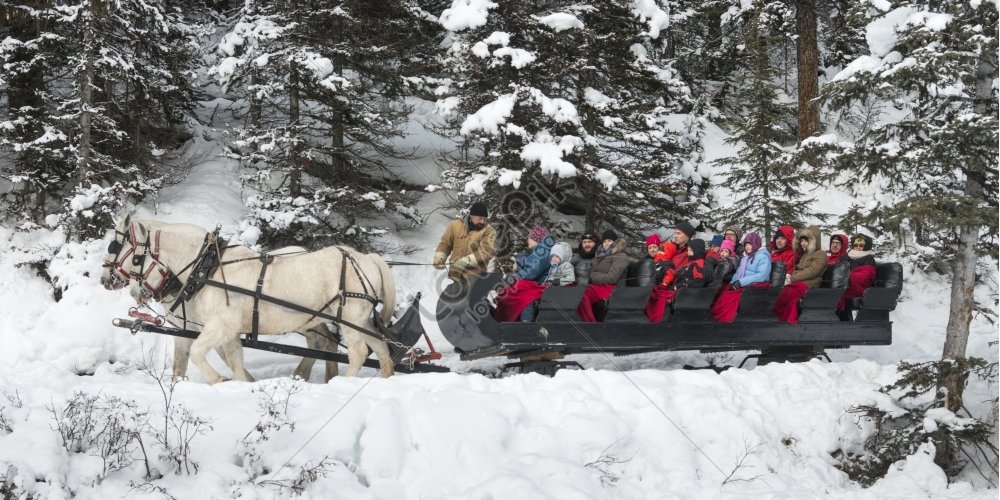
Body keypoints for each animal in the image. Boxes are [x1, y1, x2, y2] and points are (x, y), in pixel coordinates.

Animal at [100, 218, 398, 382]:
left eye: (116, 247)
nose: (104, 278)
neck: (206, 269)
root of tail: (366, 258)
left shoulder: (218, 325)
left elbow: (197, 352)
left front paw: (218, 380)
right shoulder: (225, 331)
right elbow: (230, 360)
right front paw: (242, 383)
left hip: (348, 318)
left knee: (358, 352)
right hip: (358, 320)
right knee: (380, 347)